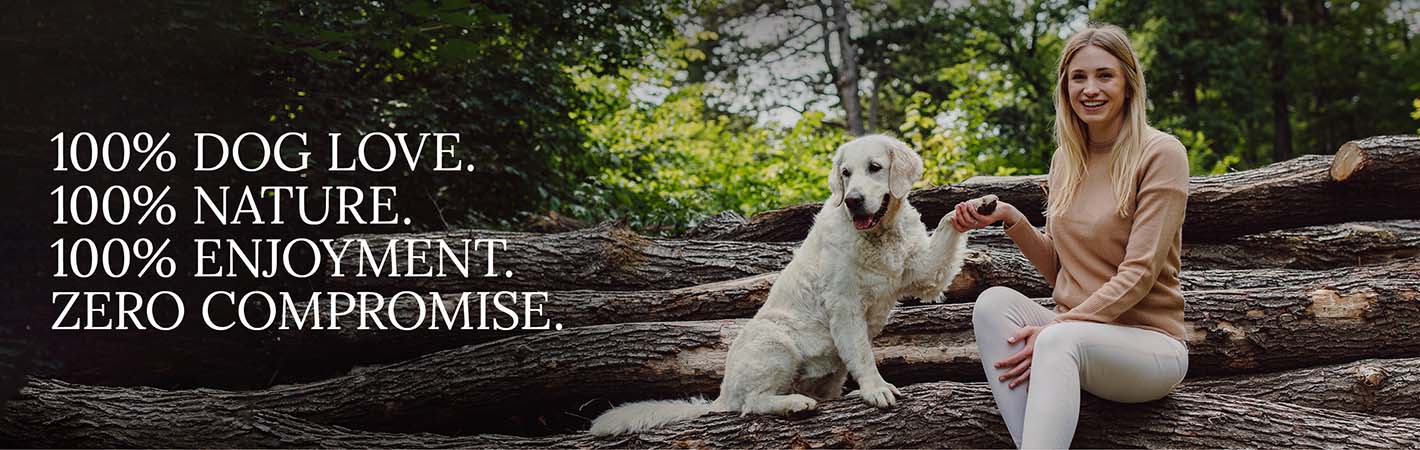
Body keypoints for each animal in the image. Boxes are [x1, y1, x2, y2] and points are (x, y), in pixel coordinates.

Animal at [587, 134, 976, 434]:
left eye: (875, 168)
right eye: (846, 173)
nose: (852, 200)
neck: (880, 235)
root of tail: (720, 397)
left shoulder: (923, 272)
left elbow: (944, 237)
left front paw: (969, 210)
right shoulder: (845, 305)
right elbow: (863, 354)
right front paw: (876, 389)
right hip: (776, 344)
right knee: (751, 404)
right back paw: (793, 403)